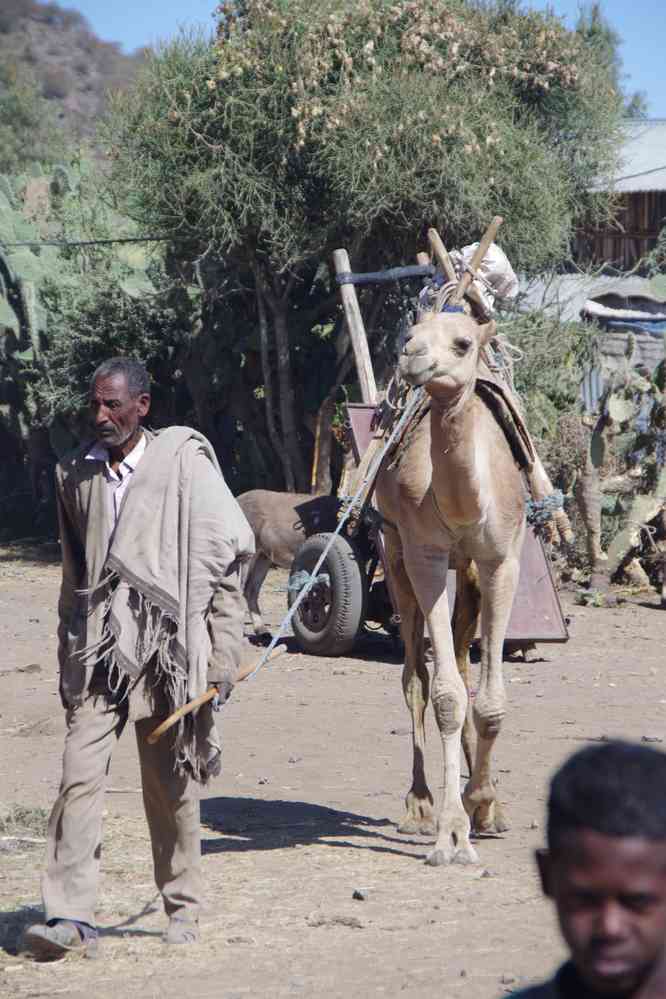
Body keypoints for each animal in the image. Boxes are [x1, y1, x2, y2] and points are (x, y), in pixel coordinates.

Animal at [374, 308, 524, 864]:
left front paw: (485, 802)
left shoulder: (502, 560)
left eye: (463, 344)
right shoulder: (425, 556)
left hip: (472, 572)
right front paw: (452, 833)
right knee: (416, 678)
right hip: (394, 551)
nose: (412, 357)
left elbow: (489, 700)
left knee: (461, 658)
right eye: (409, 335)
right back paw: (419, 806)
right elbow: (445, 697)